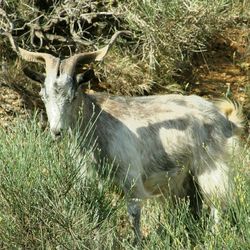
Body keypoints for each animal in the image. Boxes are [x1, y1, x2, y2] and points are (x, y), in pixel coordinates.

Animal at [5, 30, 242, 242]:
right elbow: (96, 212)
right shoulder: (90, 179)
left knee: (218, 206)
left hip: (211, 168)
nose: (57, 131)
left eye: (72, 97)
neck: (98, 123)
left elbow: (133, 215)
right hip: (186, 179)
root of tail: (225, 120)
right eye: (43, 96)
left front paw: (136, 243)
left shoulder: (131, 180)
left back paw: (214, 238)